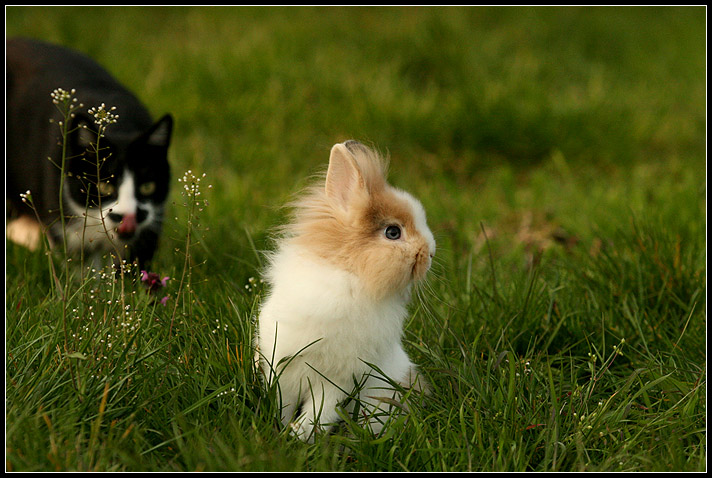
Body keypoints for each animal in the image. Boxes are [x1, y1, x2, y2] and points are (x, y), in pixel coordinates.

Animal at [256, 140, 434, 442]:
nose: (430, 253)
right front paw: (282, 429)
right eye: (393, 232)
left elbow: (321, 409)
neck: (352, 277)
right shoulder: (281, 362)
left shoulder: (337, 379)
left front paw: (300, 435)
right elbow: (284, 401)